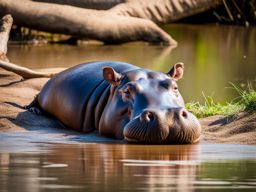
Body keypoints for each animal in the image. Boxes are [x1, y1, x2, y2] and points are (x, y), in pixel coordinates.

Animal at [27, 60, 201, 143]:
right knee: (36, 97)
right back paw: (34, 110)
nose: (168, 115)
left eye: (175, 87)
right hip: (45, 93)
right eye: (127, 91)